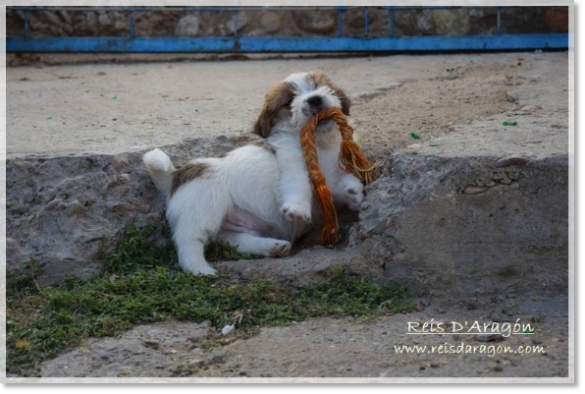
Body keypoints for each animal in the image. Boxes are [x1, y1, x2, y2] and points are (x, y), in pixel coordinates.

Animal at [144, 71, 362, 276]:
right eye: (289, 101)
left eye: (319, 86)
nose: (315, 99)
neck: (320, 145)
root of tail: (174, 176)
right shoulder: (291, 164)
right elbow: (299, 185)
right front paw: (298, 209)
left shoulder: (337, 170)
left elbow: (346, 180)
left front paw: (355, 193)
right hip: (202, 209)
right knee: (189, 240)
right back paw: (199, 269)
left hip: (232, 229)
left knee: (237, 241)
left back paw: (274, 247)